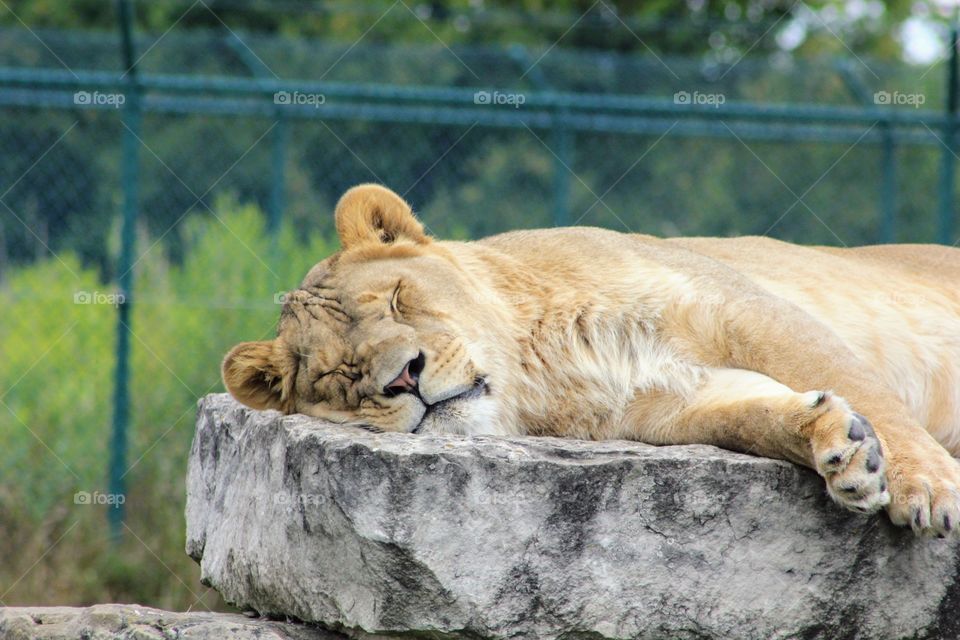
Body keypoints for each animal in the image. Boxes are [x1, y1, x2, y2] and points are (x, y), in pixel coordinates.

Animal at [223, 183, 960, 537]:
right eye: (340, 376)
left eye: (399, 298)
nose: (405, 375)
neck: (538, 369)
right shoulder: (667, 403)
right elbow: (757, 416)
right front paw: (843, 448)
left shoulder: (743, 307)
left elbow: (860, 382)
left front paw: (927, 485)